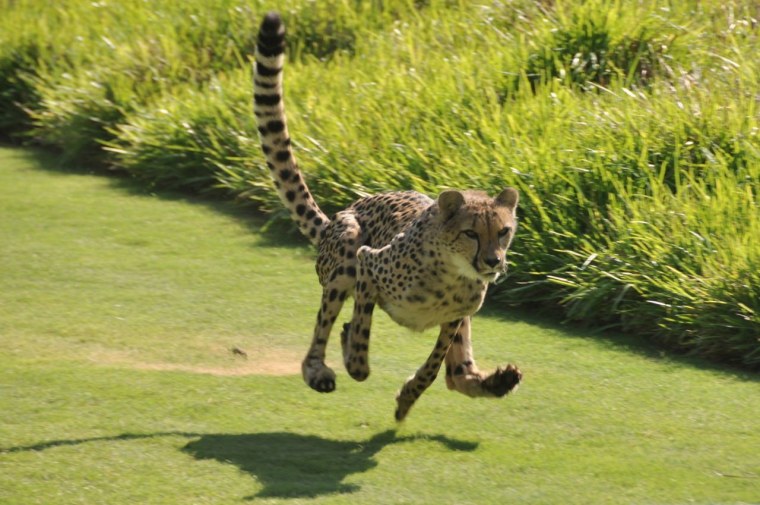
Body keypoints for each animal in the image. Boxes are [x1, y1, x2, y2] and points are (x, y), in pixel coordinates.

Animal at [253, 11, 522, 421]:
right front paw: (354, 357)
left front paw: (408, 397)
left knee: (456, 375)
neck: (452, 272)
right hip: (346, 249)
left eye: (503, 231)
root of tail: (338, 216)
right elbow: (361, 328)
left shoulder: (455, 317)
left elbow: (434, 366)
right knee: (323, 327)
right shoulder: (368, 264)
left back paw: (497, 382)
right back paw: (318, 370)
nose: (493, 261)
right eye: (471, 233)